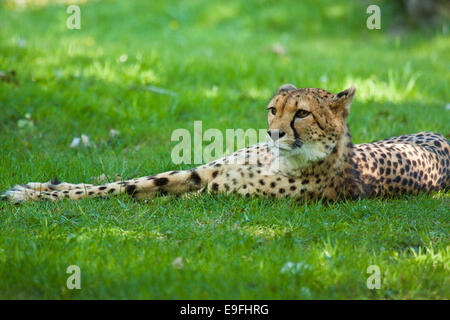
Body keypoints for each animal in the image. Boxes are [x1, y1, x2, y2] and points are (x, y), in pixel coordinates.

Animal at [1, 84, 448, 201]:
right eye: (273, 109)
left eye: (302, 114)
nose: (273, 133)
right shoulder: (204, 172)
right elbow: (123, 182)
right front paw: (41, 186)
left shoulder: (212, 185)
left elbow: (128, 189)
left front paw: (33, 195)